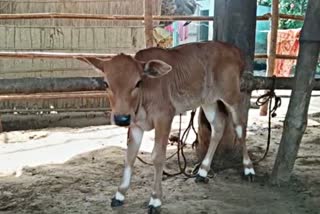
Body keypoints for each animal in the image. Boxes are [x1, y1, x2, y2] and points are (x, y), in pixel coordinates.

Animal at [82, 41, 255, 213]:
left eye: (138, 82)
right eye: (106, 83)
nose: (121, 118)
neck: (143, 101)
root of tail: (233, 49)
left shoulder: (164, 117)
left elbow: (157, 156)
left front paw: (155, 200)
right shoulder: (136, 124)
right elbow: (130, 156)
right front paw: (119, 194)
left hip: (232, 95)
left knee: (240, 127)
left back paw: (248, 169)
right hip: (208, 100)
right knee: (218, 126)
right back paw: (203, 171)